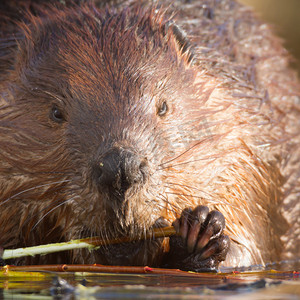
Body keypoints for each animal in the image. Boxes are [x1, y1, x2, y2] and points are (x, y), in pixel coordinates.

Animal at [0, 0, 298, 270]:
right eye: (56, 112)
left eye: (163, 106)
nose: (120, 169)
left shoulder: (248, 149)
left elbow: (250, 251)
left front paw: (202, 229)